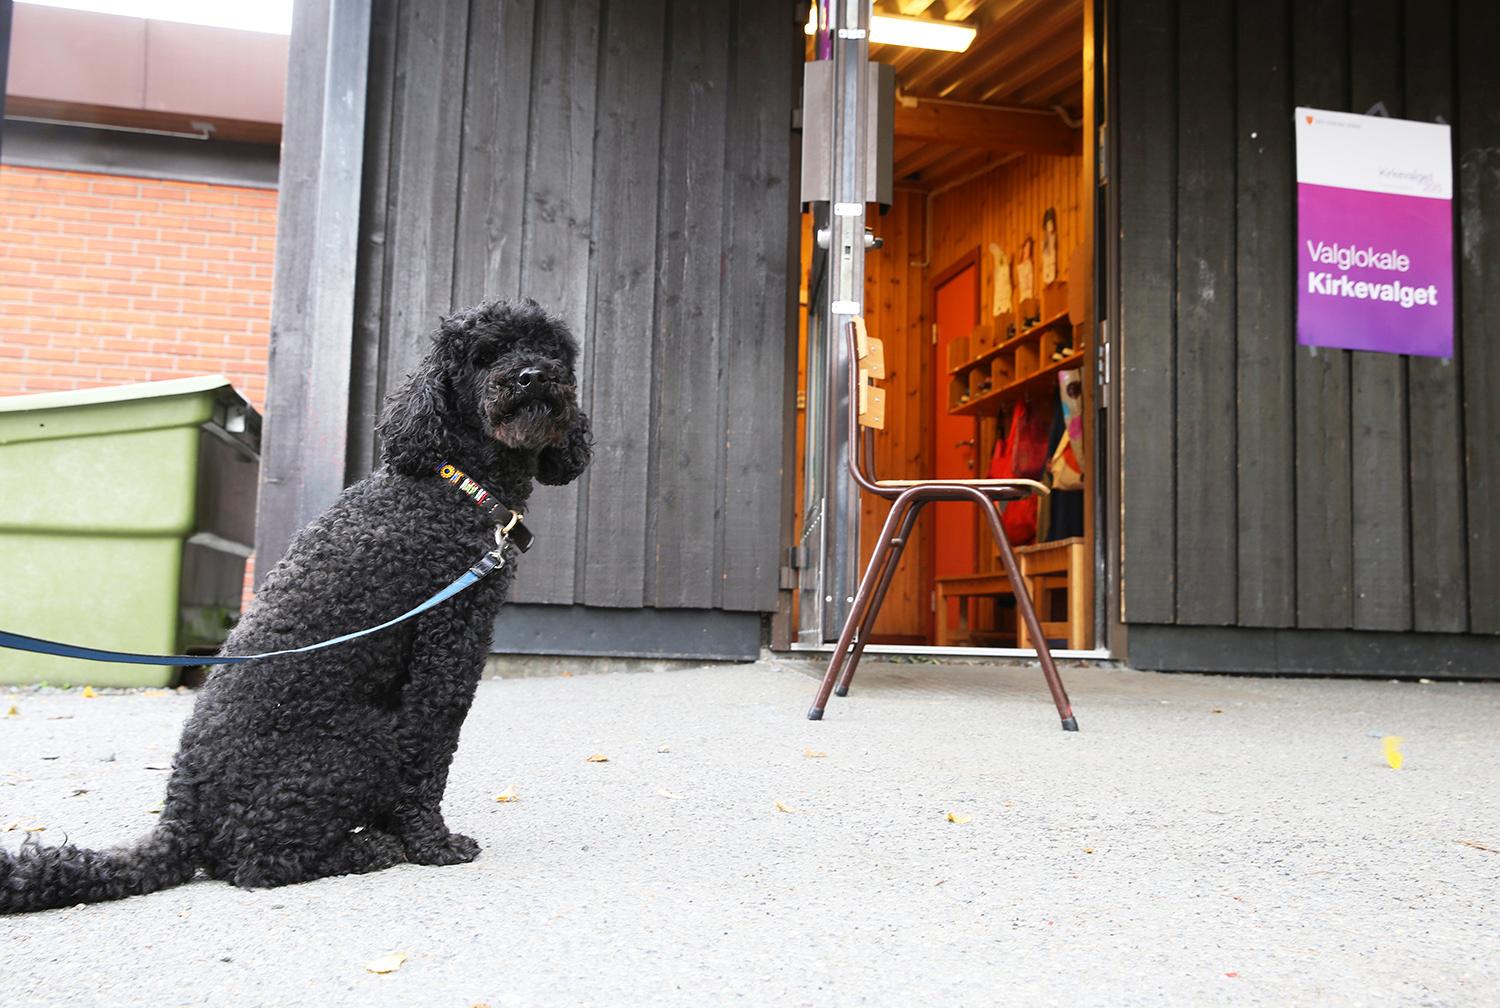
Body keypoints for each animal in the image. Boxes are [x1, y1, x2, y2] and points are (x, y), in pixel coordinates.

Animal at [0, 297, 591, 912]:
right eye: (485, 355)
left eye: (550, 349)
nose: (533, 376)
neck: (453, 488)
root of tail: (184, 813)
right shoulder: (446, 646)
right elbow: (429, 753)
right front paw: (432, 843)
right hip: (361, 745)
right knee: (256, 863)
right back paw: (366, 850)